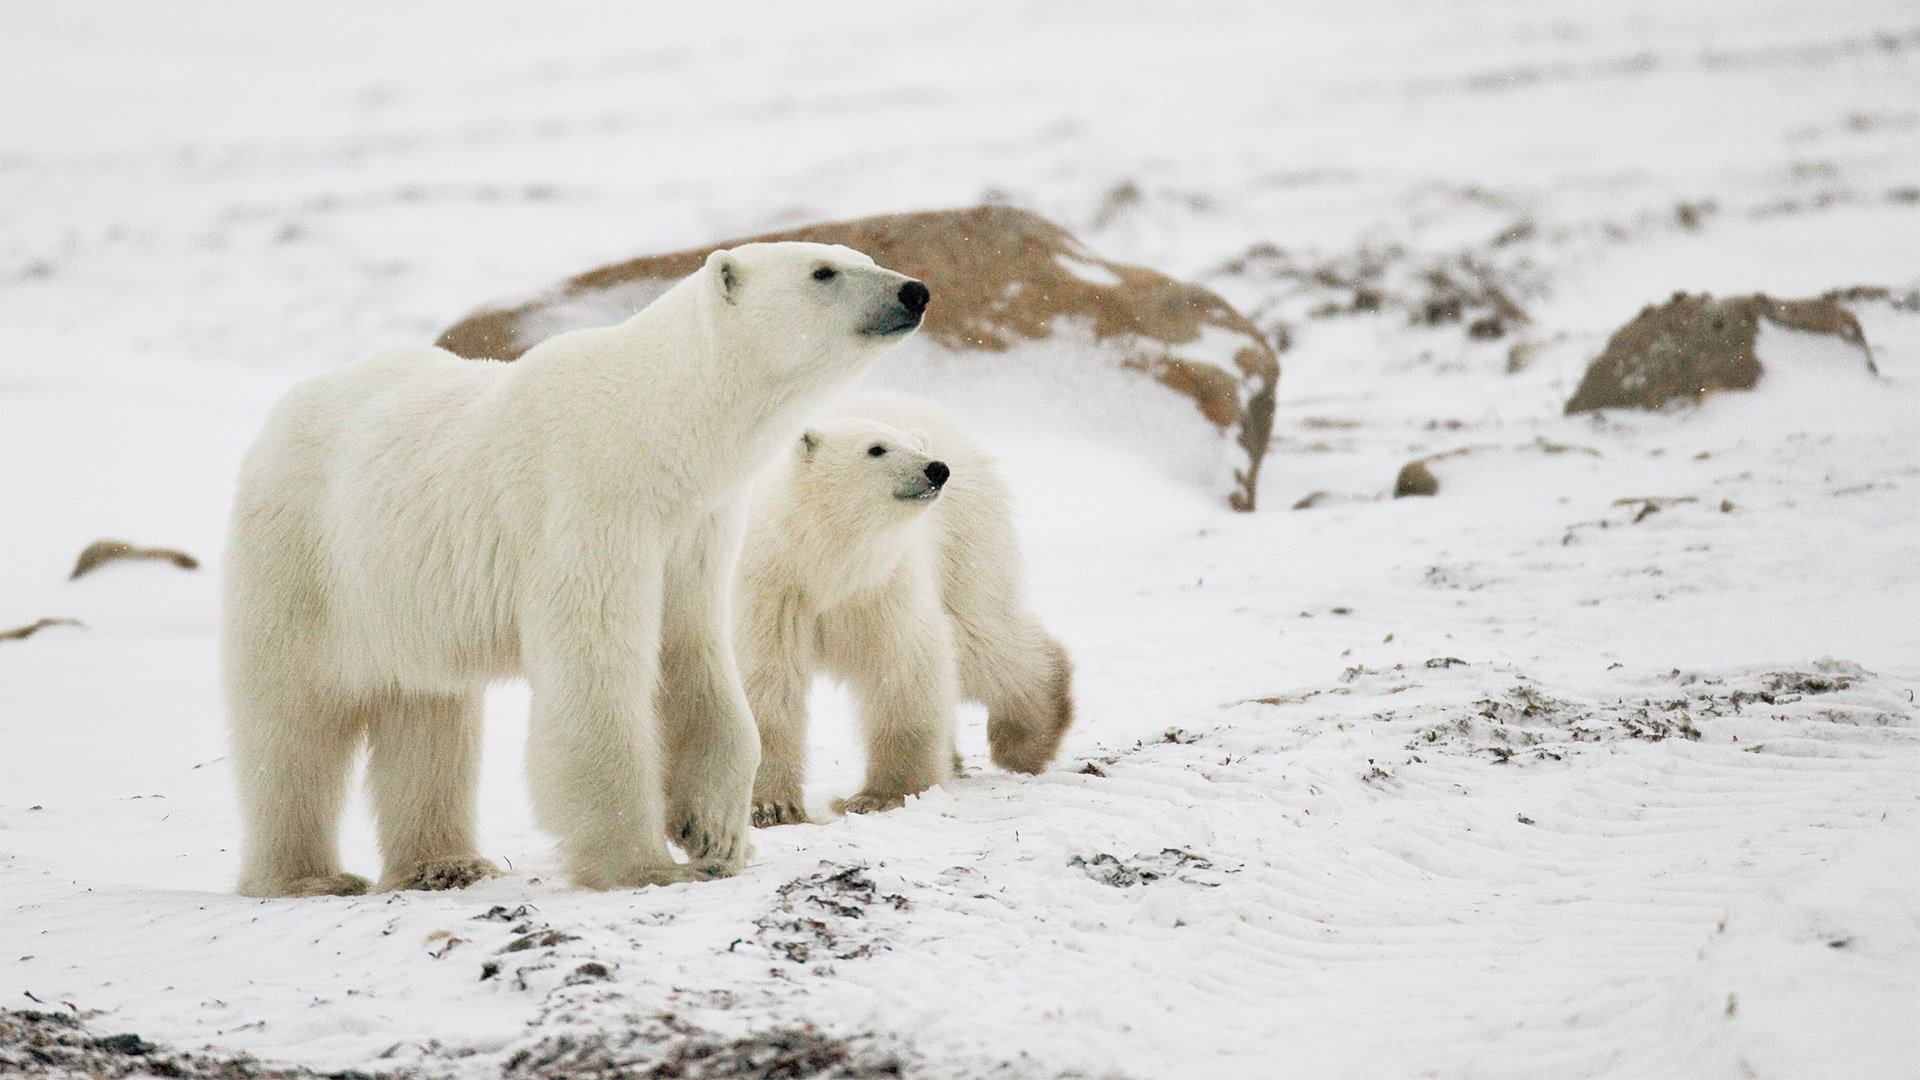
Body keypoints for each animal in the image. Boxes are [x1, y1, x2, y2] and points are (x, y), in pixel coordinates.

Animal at [224, 242, 929, 891]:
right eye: (823, 272)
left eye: (862, 257)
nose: (914, 291)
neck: (656, 429)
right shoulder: (592, 504)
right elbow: (597, 676)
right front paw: (643, 864)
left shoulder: (693, 529)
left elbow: (692, 654)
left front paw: (715, 833)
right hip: (304, 559)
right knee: (292, 724)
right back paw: (307, 876)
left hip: (408, 597)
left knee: (429, 713)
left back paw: (444, 864)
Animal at [733, 390, 1075, 818]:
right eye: (875, 449)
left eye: (915, 447)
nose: (936, 468)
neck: (831, 561)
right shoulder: (775, 591)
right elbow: (767, 680)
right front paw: (770, 807)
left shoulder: (886, 585)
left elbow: (905, 668)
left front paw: (878, 797)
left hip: (967, 543)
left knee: (981, 640)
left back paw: (1027, 740)